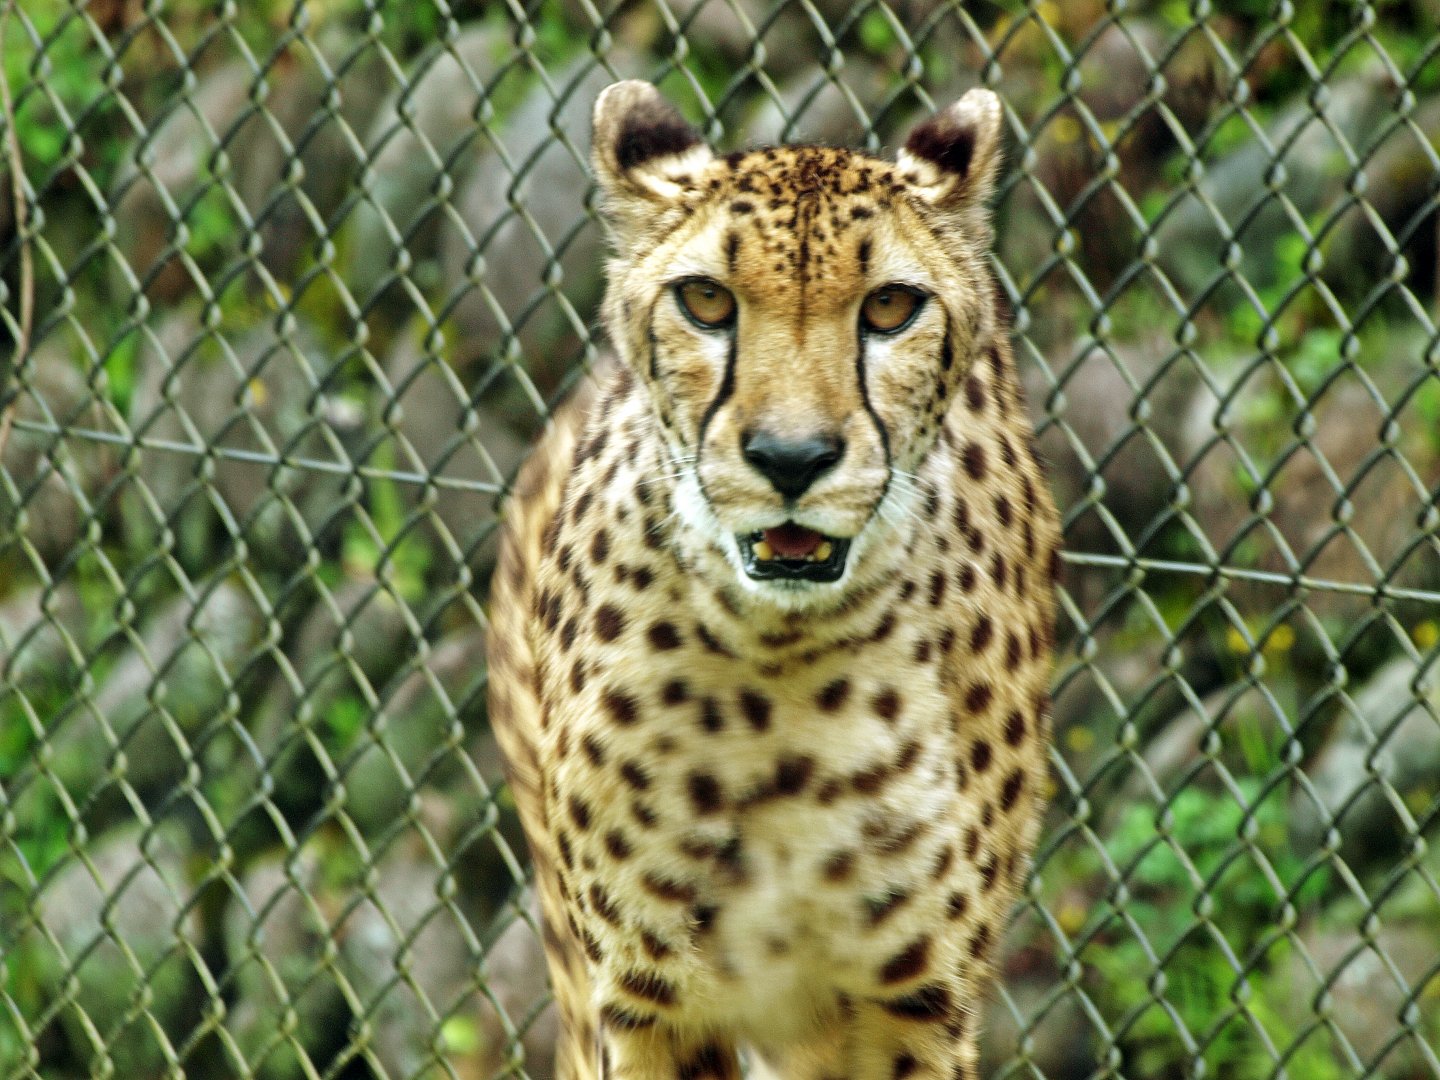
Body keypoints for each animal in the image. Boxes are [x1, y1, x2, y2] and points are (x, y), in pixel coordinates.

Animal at [486, 79, 1061, 1080]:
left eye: (890, 308)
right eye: (706, 300)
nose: (793, 458)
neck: (782, 669)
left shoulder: (916, 1002)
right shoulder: (651, 998)